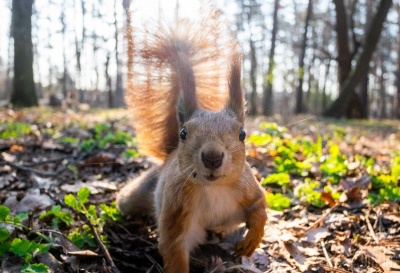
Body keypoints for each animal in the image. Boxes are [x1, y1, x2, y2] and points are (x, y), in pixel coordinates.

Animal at [115, 11, 266, 272]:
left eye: (242, 134)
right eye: (184, 133)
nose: (213, 157)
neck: (213, 188)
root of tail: (170, 154)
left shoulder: (247, 188)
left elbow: (260, 207)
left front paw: (252, 240)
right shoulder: (176, 212)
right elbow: (174, 249)